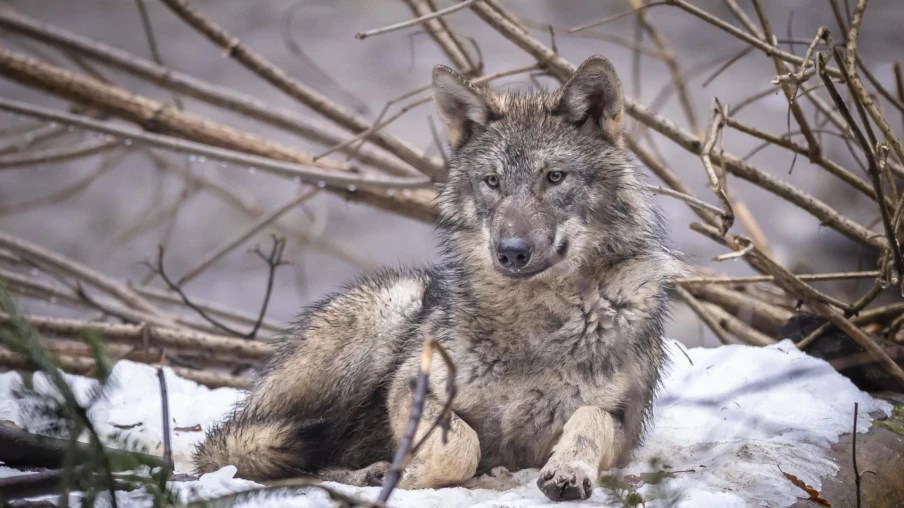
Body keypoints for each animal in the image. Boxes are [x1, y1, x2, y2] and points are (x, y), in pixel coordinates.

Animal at [193, 55, 680, 502]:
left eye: (554, 177)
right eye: (492, 182)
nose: (511, 252)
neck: (535, 323)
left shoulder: (623, 422)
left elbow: (588, 419)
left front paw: (568, 470)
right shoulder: (411, 388)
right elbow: (461, 446)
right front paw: (409, 475)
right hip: (390, 310)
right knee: (259, 451)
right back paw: (369, 471)